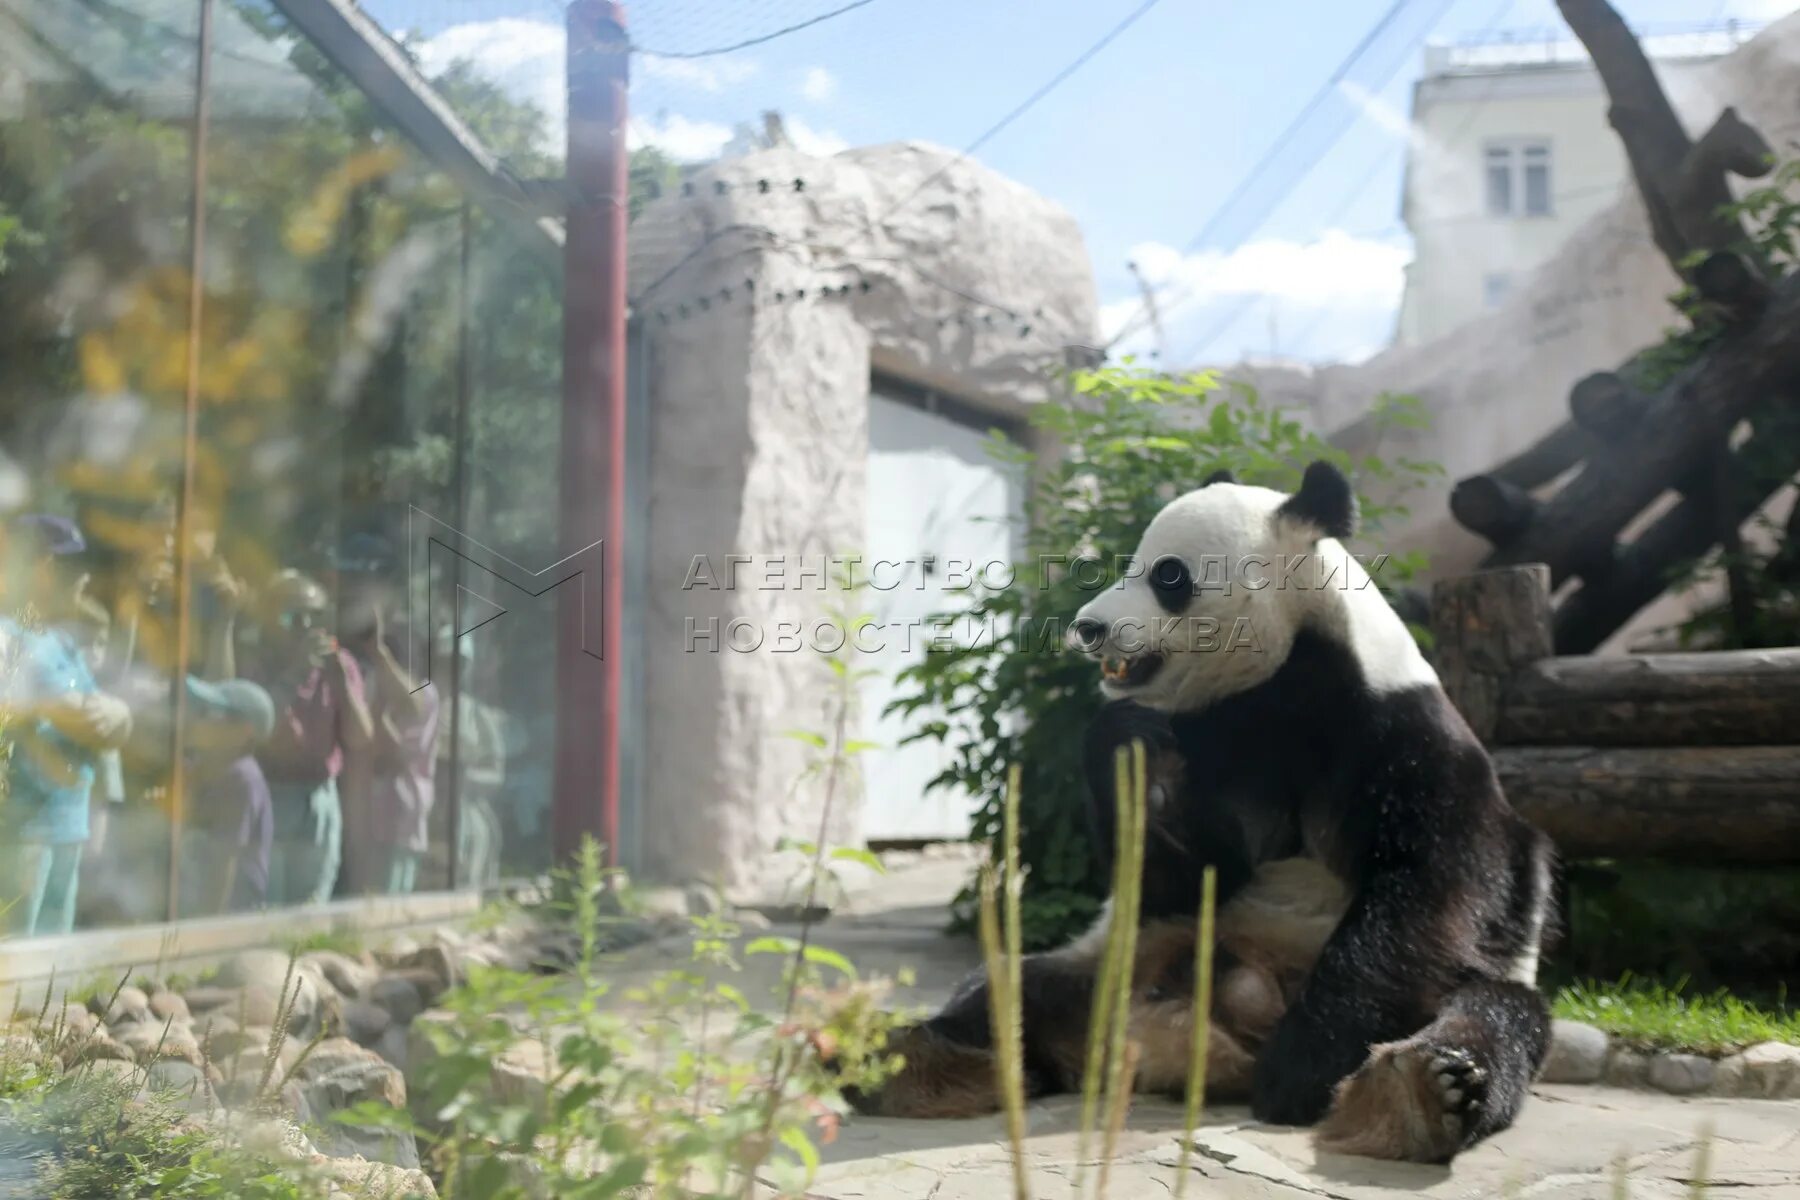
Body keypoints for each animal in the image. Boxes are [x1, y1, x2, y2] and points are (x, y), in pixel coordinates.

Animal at [849, 460, 1555, 1165]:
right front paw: (1126, 742)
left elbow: (1436, 877)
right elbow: (1185, 877)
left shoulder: (1396, 730)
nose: (1089, 627)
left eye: (1169, 577)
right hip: (1109, 962)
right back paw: (899, 1063)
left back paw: (1420, 1093)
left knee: (1495, 1014)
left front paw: (1303, 1070)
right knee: (1009, 987)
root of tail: (1200, 1045)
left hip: (1447, 987)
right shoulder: (1216, 739)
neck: (1288, 671)